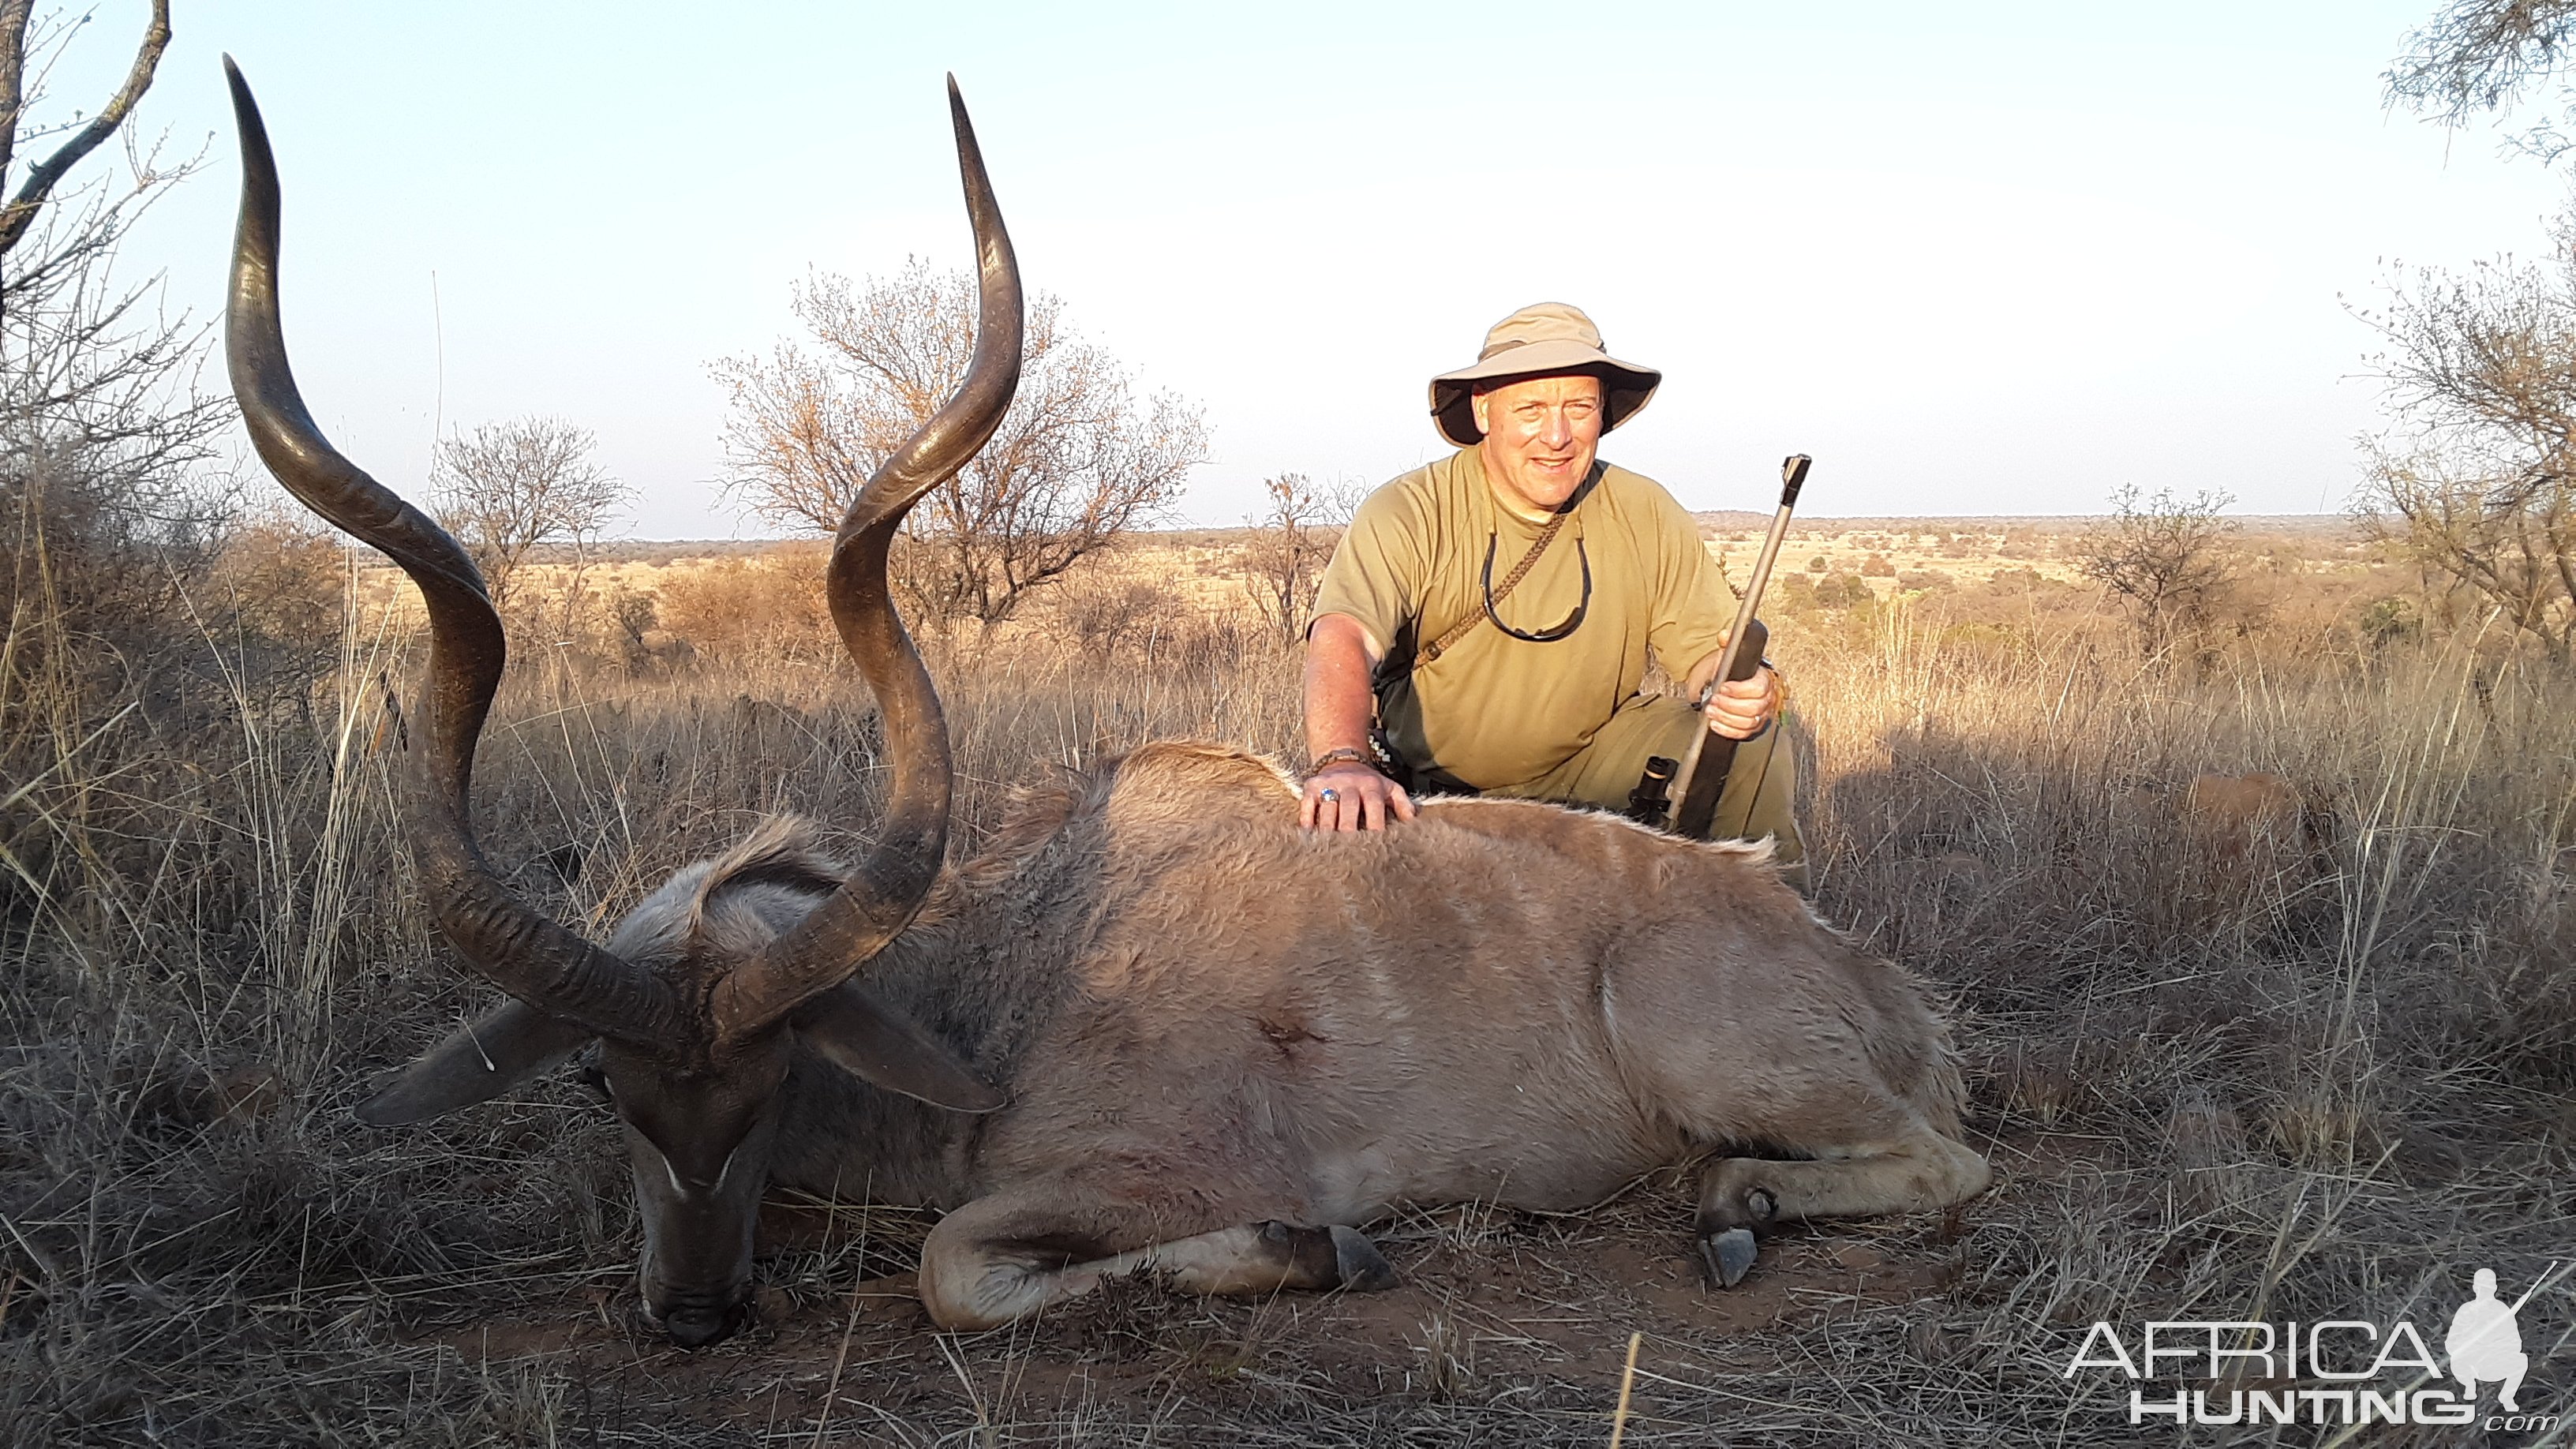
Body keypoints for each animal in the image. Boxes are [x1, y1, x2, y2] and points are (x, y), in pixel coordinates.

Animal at [221, 59, 1988, 1340]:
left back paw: (1732, 1212)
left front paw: (1330, 1252)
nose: (695, 1315)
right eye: (601, 1080)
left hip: (1735, 1065)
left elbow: (960, 1270)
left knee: (1944, 1160)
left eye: (782, 1072)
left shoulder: (1139, 1176)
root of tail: (1885, 988)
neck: (1007, 972)